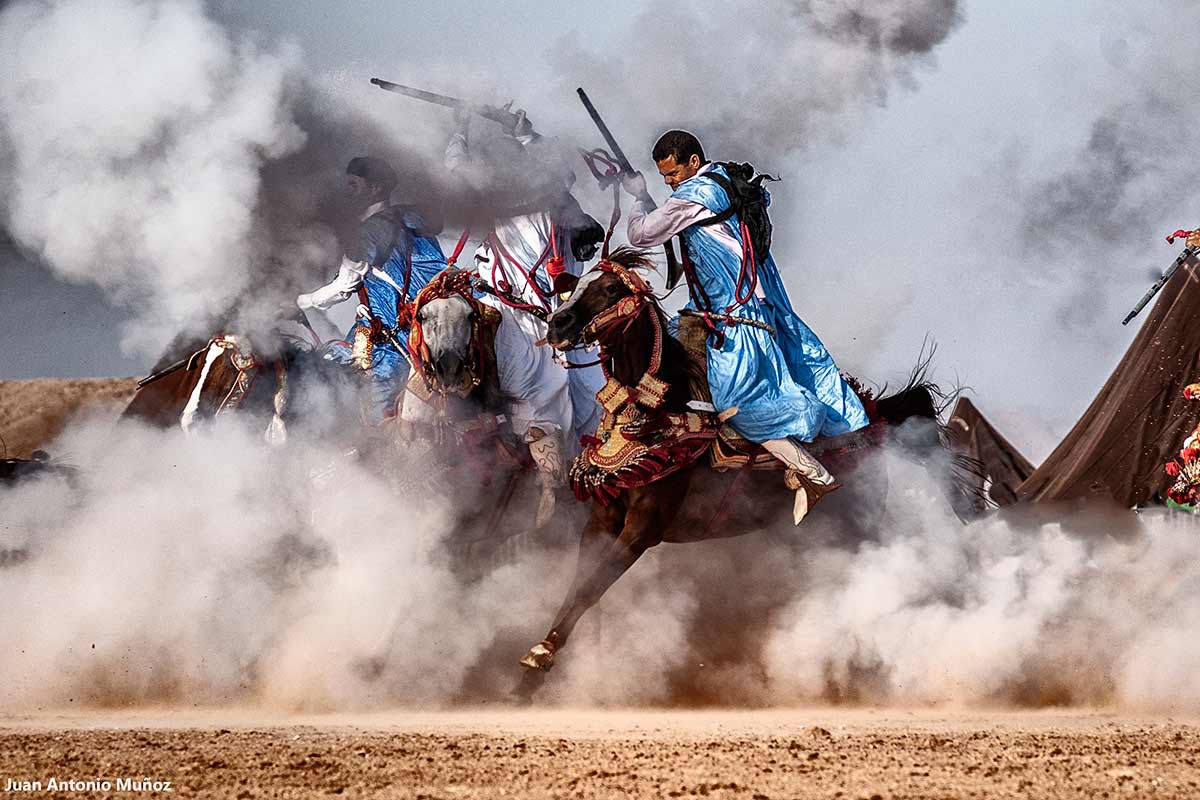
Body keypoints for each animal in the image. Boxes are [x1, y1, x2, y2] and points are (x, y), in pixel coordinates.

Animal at [516, 247, 964, 681]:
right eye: (573, 287)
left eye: (610, 289)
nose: (557, 323)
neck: (658, 417)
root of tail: (875, 415)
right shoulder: (602, 519)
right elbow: (579, 586)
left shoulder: (643, 528)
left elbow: (590, 588)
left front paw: (539, 659)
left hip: (854, 524)